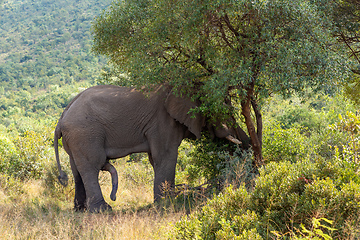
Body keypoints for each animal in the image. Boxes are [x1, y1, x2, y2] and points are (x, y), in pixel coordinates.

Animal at [54, 84, 249, 212]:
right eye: (221, 109)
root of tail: (62, 118)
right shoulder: (162, 122)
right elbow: (165, 156)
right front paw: (166, 203)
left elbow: (155, 159)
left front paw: (166, 200)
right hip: (85, 134)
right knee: (91, 167)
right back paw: (103, 210)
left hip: (75, 139)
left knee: (76, 170)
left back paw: (80, 209)